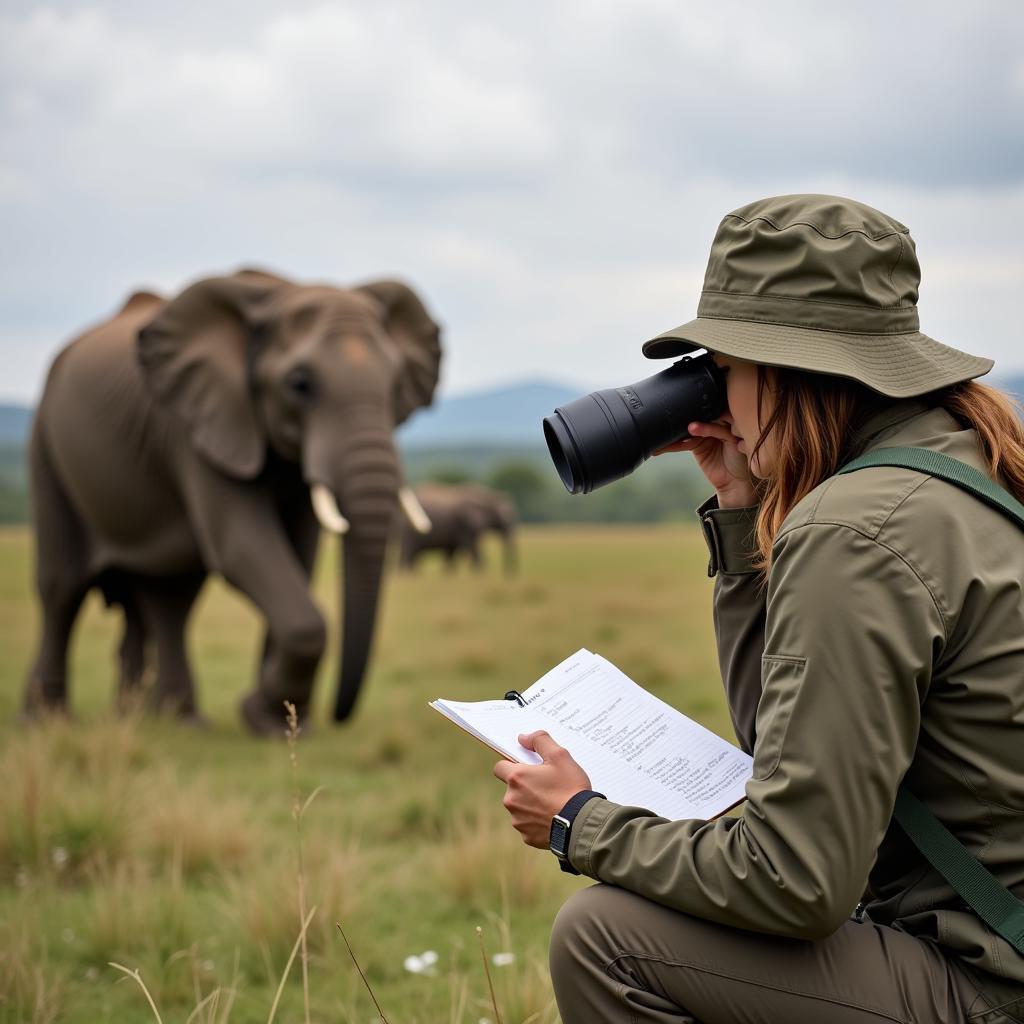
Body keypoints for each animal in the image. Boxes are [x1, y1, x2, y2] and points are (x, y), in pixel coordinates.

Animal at [22, 268, 442, 733]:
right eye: (300, 385)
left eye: (397, 385)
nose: (337, 717)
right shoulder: (195, 426)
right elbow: (240, 547)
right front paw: (267, 717)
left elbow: (300, 554)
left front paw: (278, 724)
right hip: (46, 444)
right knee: (62, 588)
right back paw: (47, 722)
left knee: (169, 598)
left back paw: (170, 720)